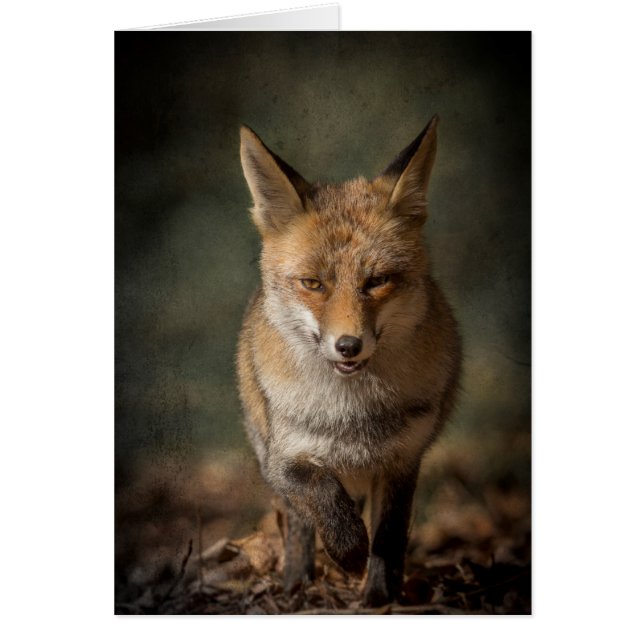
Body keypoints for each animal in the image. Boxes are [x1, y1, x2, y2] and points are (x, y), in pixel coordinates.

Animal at [236, 115, 461, 607]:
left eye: (377, 281)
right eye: (312, 284)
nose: (348, 346)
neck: (351, 416)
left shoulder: (403, 457)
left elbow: (389, 537)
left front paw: (379, 596)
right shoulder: (285, 457)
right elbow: (322, 494)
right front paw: (347, 551)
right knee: (299, 524)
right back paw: (297, 583)